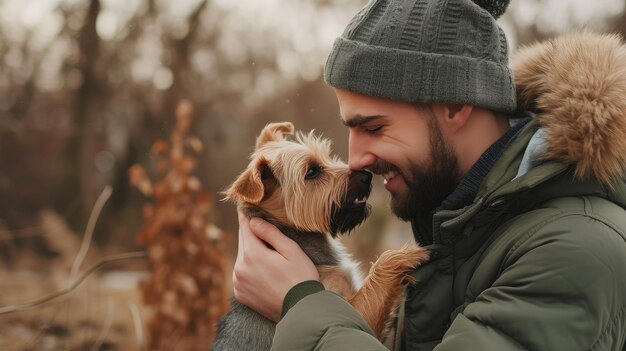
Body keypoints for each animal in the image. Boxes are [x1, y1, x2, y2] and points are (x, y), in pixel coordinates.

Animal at [212, 122, 426, 350]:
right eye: (312, 172)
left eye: (328, 157)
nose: (366, 175)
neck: (296, 235)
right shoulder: (349, 310)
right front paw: (403, 256)